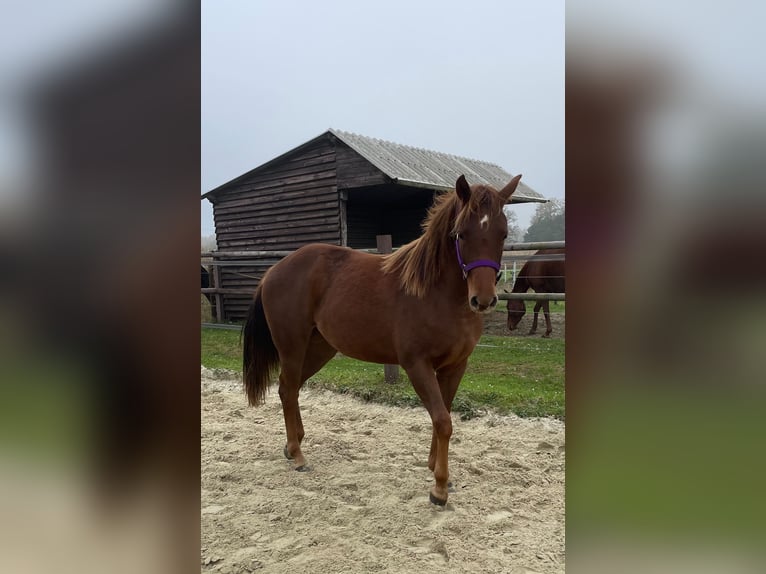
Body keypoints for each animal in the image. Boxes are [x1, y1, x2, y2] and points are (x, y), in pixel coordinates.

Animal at [243, 174, 524, 504]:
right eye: (461, 234)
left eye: (503, 234)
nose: (483, 300)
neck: (436, 294)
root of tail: (272, 271)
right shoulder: (417, 365)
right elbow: (443, 421)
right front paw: (439, 487)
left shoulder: (455, 366)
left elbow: (443, 415)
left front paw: (435, 469)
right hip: (292, 346)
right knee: (288, 389)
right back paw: (299, 456)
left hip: (319, 348)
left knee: (292, 388)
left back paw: (292, 445)